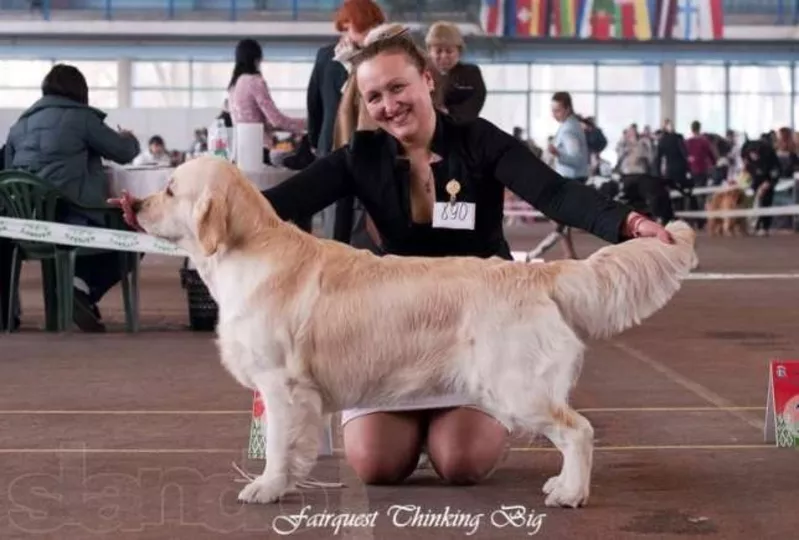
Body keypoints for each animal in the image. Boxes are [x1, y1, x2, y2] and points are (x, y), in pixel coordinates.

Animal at [133, 157, 700, 510]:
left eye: (170, 189)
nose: (131, 205)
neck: (248, 250)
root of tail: (535, 272)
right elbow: (293, 444)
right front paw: (287, 482)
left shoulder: (279, 382)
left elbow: (275, 442)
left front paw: (267, 487)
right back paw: (560, 482)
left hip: (516, 389)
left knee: (577, 431)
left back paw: (571, 494)